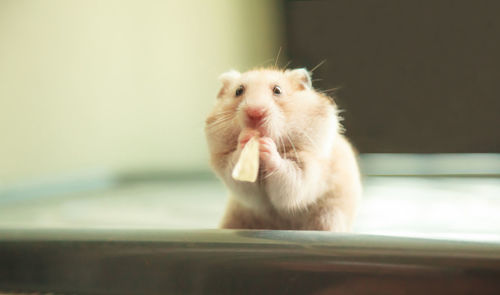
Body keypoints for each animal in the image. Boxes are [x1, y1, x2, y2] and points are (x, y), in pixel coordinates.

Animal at [205, 67, 362, 234]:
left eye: (277, 90)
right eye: (238, 91)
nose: (255, 112)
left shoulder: (307, 166)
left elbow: (289, 176)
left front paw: (267, 145)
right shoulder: (230, 171)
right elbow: (240, 177)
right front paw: (246, 138)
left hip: (329, 215)